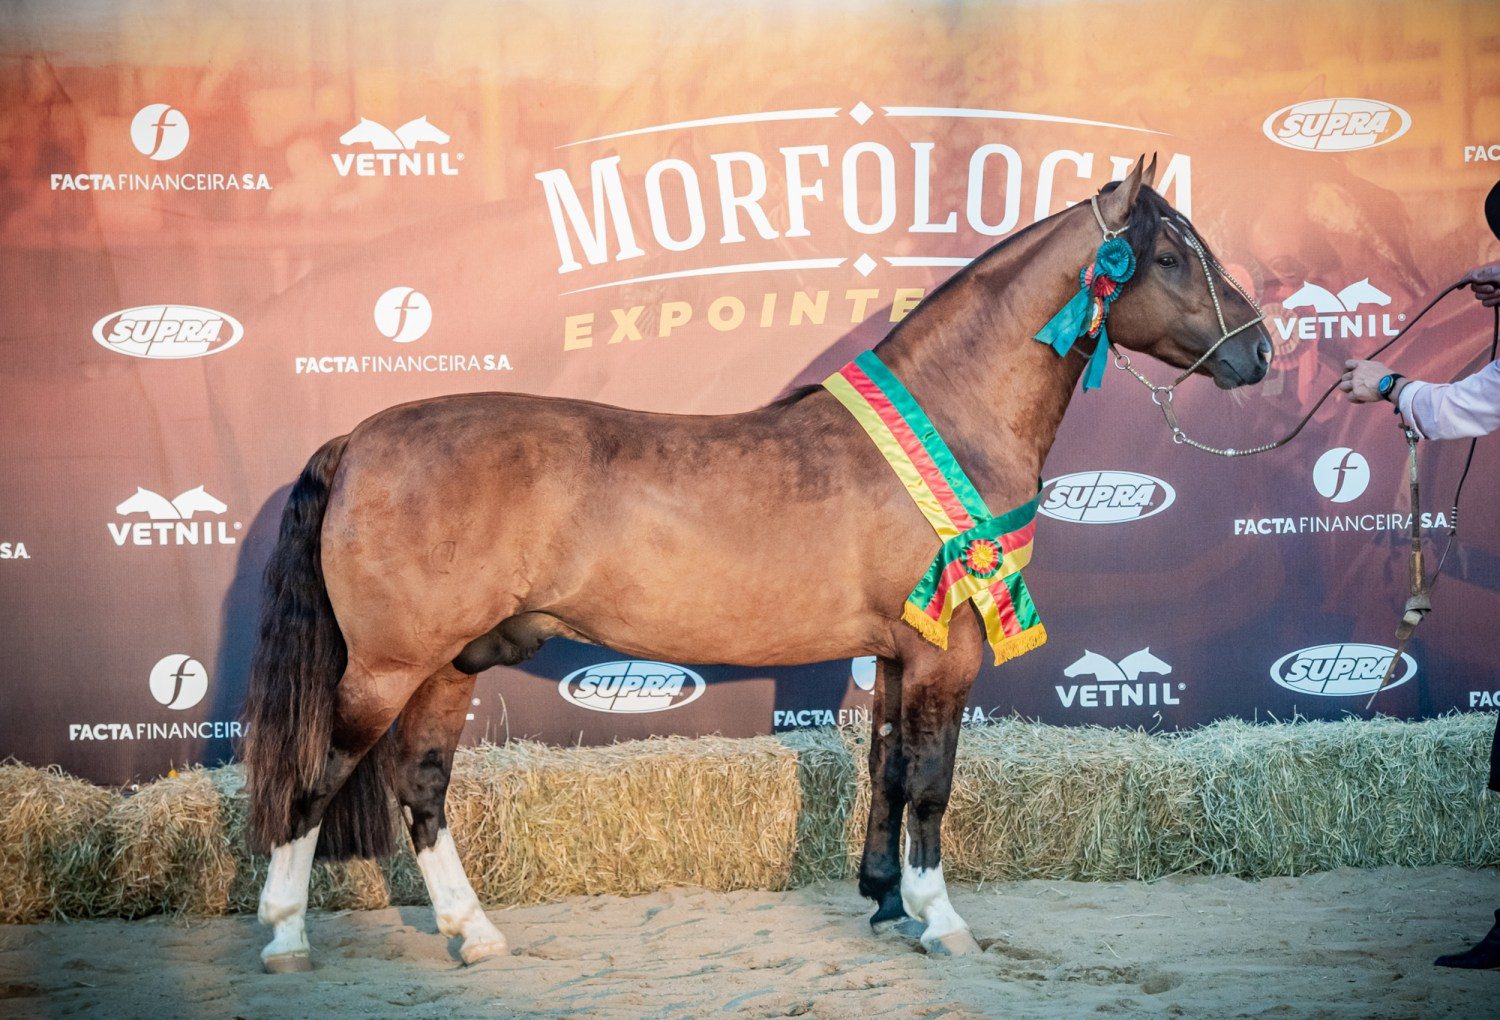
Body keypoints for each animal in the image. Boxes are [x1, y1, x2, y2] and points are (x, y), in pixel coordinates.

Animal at [243, 155, 1266, 966]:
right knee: (317, 777)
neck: (950, 418)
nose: (1257, 351)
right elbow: (933, 783)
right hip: (387, 666)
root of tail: (361, 437)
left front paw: (884, 900)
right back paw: (287, 934)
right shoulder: (947, 652)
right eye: (1167, 257)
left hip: (450, 663)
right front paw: (939, 919)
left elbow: (888, 773)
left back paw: (473, 932)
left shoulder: (897, 655)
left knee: (420, 785)